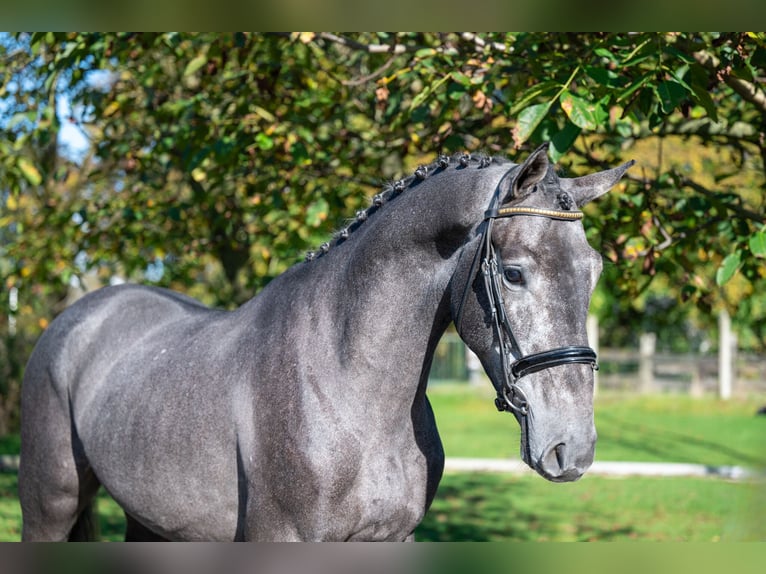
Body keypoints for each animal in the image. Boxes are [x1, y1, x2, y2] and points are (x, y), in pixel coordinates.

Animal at [18, 143, 632, 540]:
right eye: (513, 273)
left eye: (595, 270)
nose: (572, 448)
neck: (349, 391)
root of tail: (76, 318)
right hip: (49, 505)